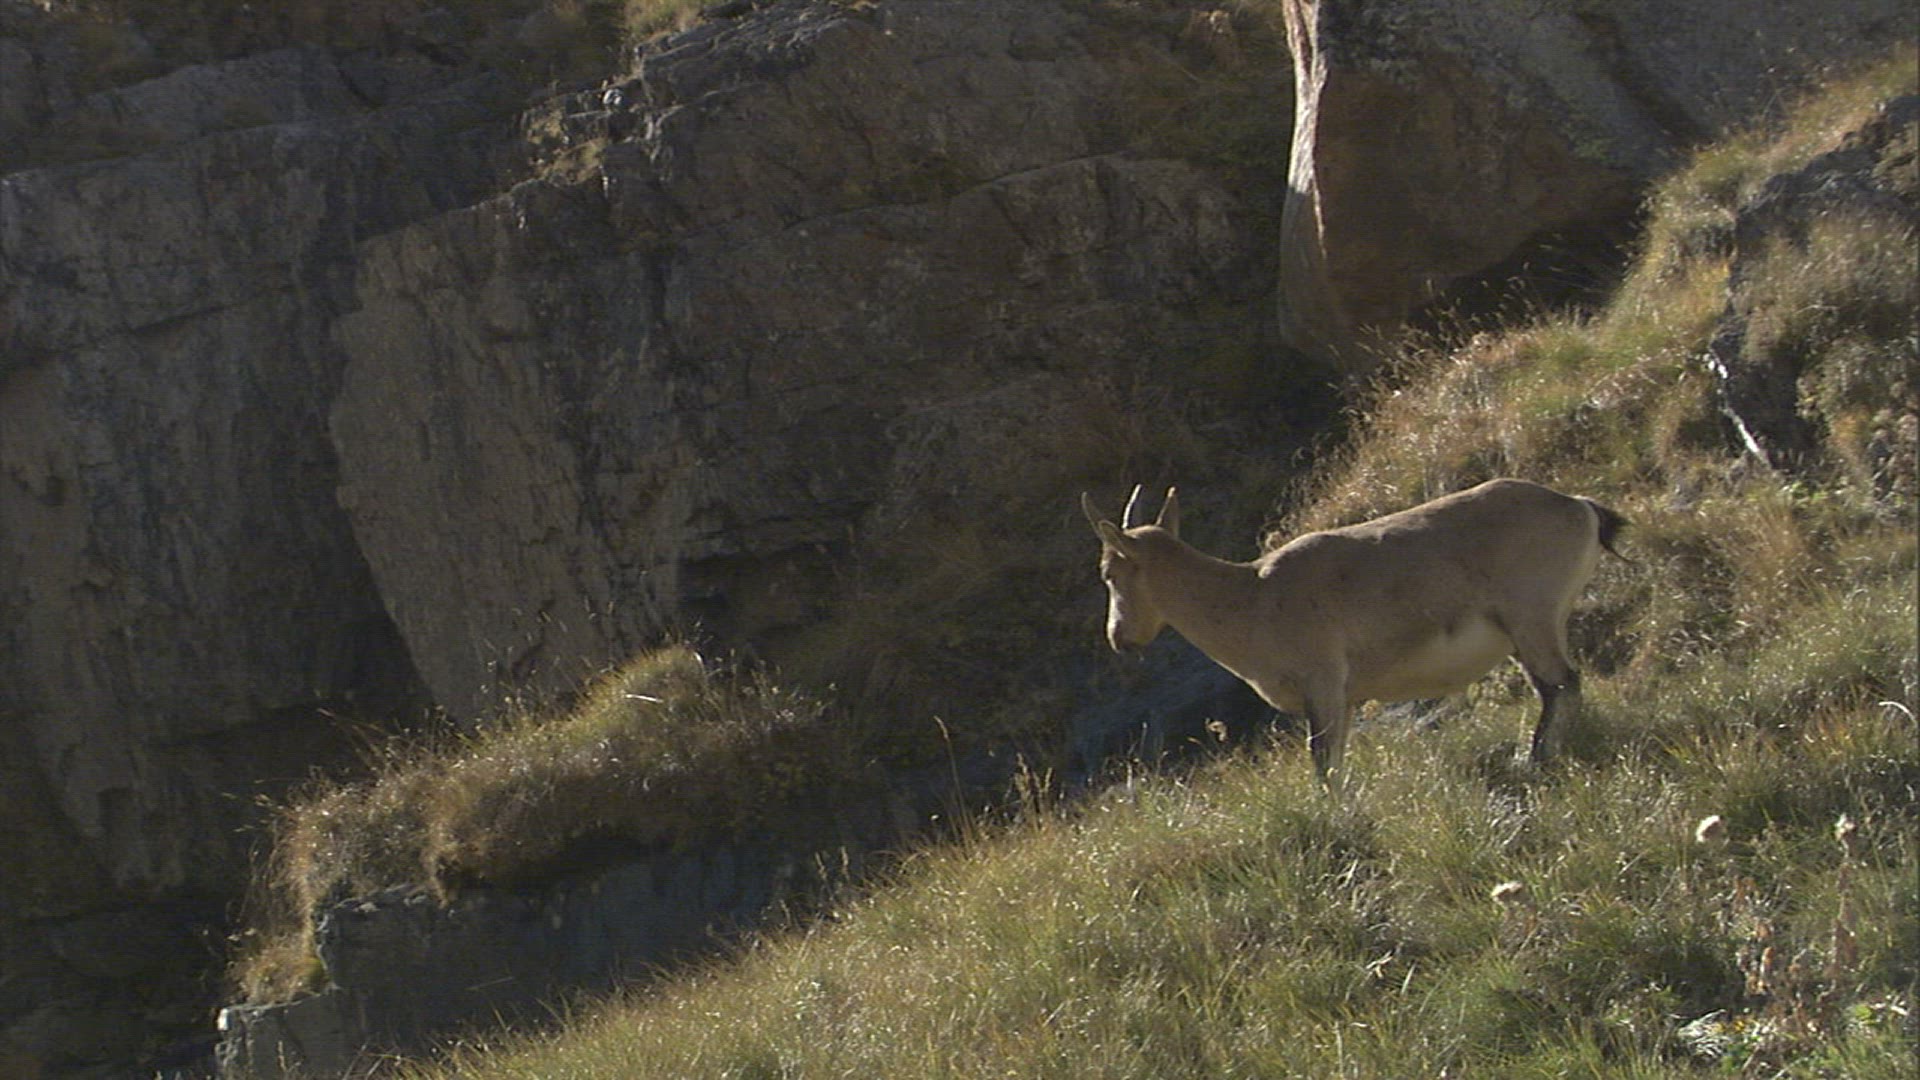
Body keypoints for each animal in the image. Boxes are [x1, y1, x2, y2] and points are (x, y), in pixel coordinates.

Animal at [1083, 479, 1626, 786]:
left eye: (1108, 573)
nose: (1120, 637)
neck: (1252, 598)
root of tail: (1578, 506)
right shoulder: (1342, 698)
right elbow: (1337, 761)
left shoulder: (1322, 681)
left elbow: (1322, 763)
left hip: (1530, 618)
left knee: (1559, 684)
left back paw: (1534, 761)